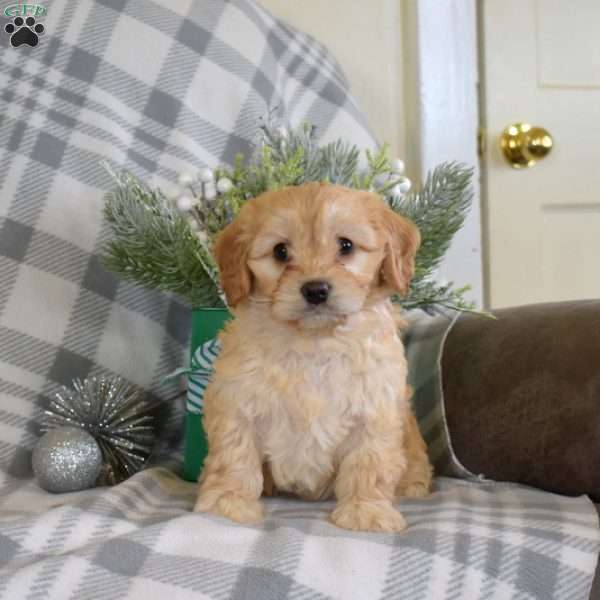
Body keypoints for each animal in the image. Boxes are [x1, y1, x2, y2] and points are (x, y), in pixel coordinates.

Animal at [195, 182, 434, 528]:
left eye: (346, 245)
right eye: (280, 251)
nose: (316, 290)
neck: (314, 341)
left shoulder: (374, 410)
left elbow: (369, 463)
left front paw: (365, 510)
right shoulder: (237, 403)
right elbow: (233, 455)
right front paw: (228, 503)